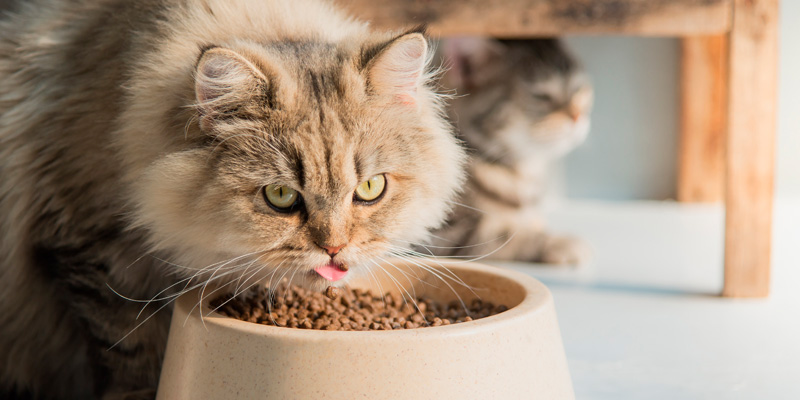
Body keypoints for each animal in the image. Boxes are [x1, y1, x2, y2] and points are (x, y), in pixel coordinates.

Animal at [432, 36, 592, 264]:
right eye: (540, 96)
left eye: (579, 89)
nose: (578, 117)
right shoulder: (442, 233)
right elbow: (501, 235)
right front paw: (557, 242)